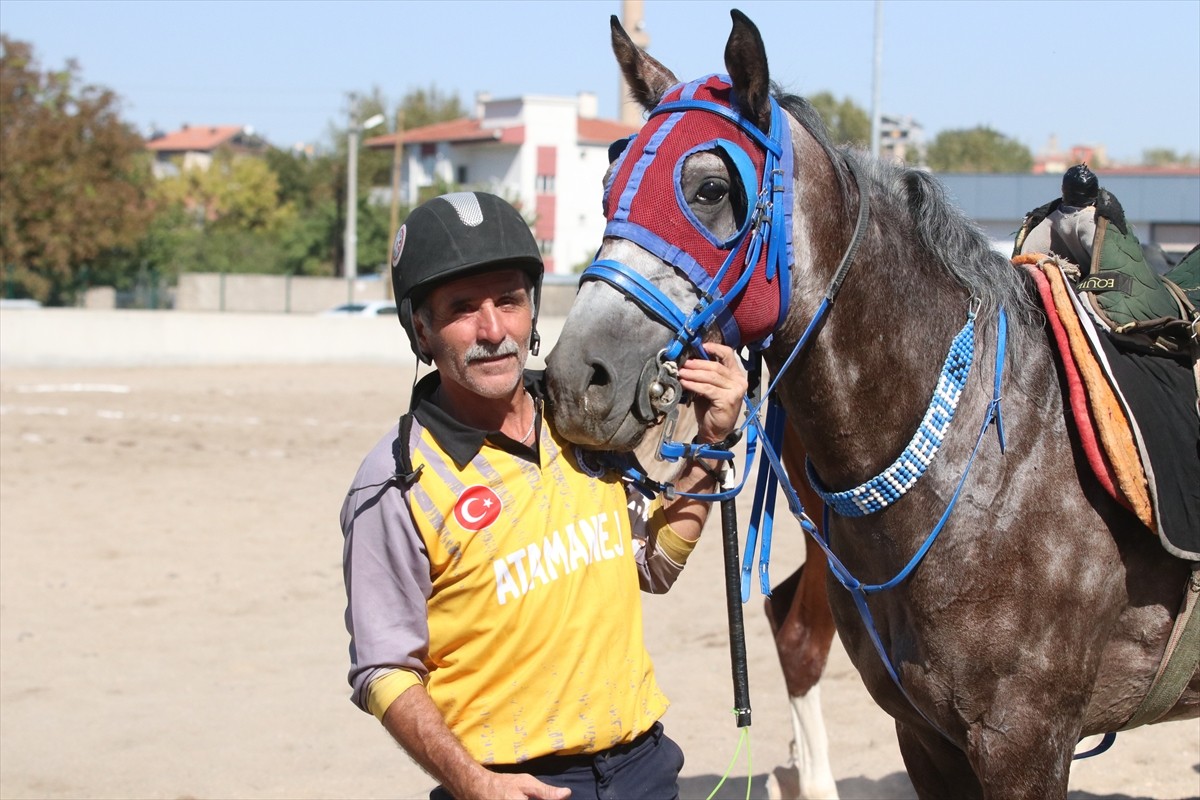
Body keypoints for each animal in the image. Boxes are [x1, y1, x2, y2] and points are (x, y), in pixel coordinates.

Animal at [547, 9, 1200, 796]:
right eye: (608, 183)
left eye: (708, 188)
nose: (577, 376)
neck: (995, 456)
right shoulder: (928, 735)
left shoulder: (1026, 740)